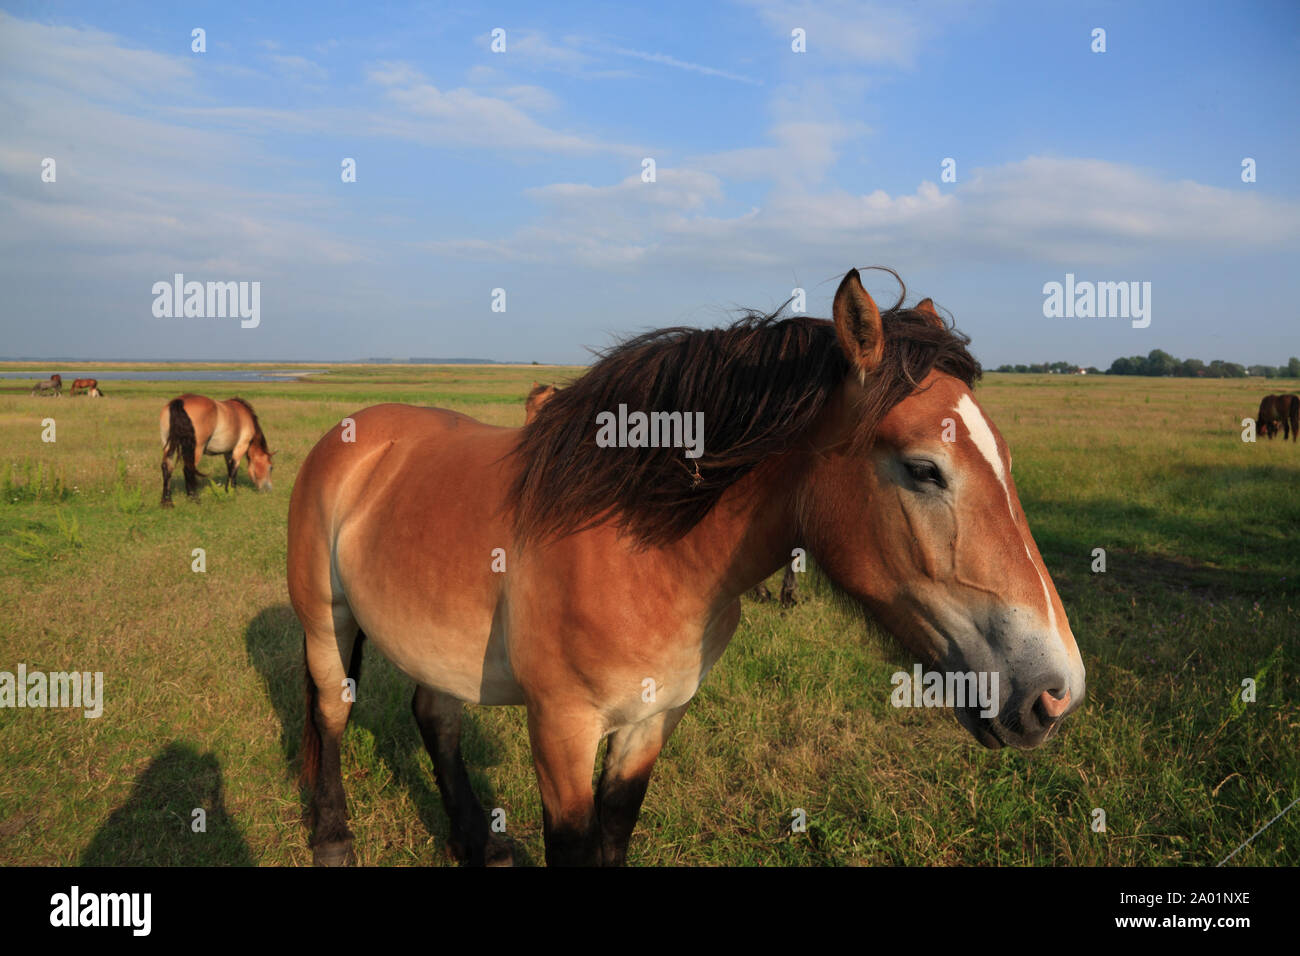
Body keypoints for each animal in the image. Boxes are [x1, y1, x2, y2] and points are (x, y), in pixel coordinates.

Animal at [288, 267, 1086, 867]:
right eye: (924, 469)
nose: (1056, 693)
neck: (644, 555)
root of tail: (355, 435)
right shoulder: (561, 730)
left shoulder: (652, 721)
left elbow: (614, 834)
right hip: (327, 624)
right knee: (332, 711)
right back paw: (332, 841)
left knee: (436, 720)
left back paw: (476, 845)